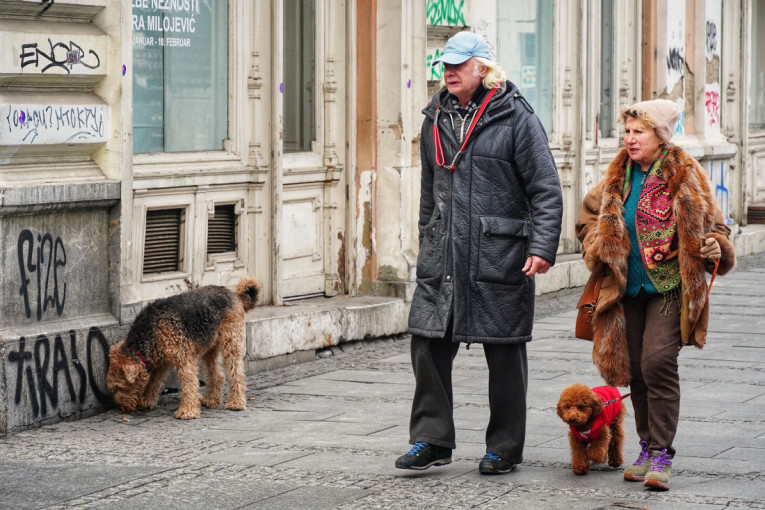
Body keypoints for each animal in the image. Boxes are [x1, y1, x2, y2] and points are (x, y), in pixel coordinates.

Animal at [107, 276, 262, 420]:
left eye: (120, 386)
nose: (122, 408)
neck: (151, 331)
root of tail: (235, 295)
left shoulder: (183, 358)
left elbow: (189, 384)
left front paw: (187, 411)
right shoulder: (161, 363)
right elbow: (153, 383)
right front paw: (147, 401)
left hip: (231, 343)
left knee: (237, 374)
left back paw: (236, 403)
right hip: (209, 349)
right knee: (217, 375)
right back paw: (211, 400)